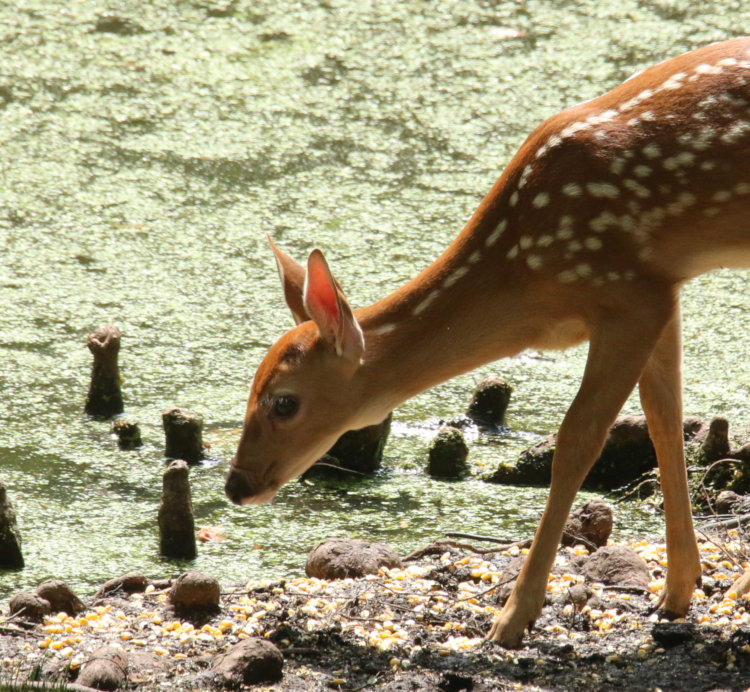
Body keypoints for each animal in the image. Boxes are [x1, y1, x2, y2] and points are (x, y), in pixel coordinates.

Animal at [225, 37, 750, 647]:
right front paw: (678, 591)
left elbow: (577, 441)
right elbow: (665, 419)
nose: (236, 485)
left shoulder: (627, 292)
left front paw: (512, 617)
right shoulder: (663, 290)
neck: (525, 275)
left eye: (284, 402)